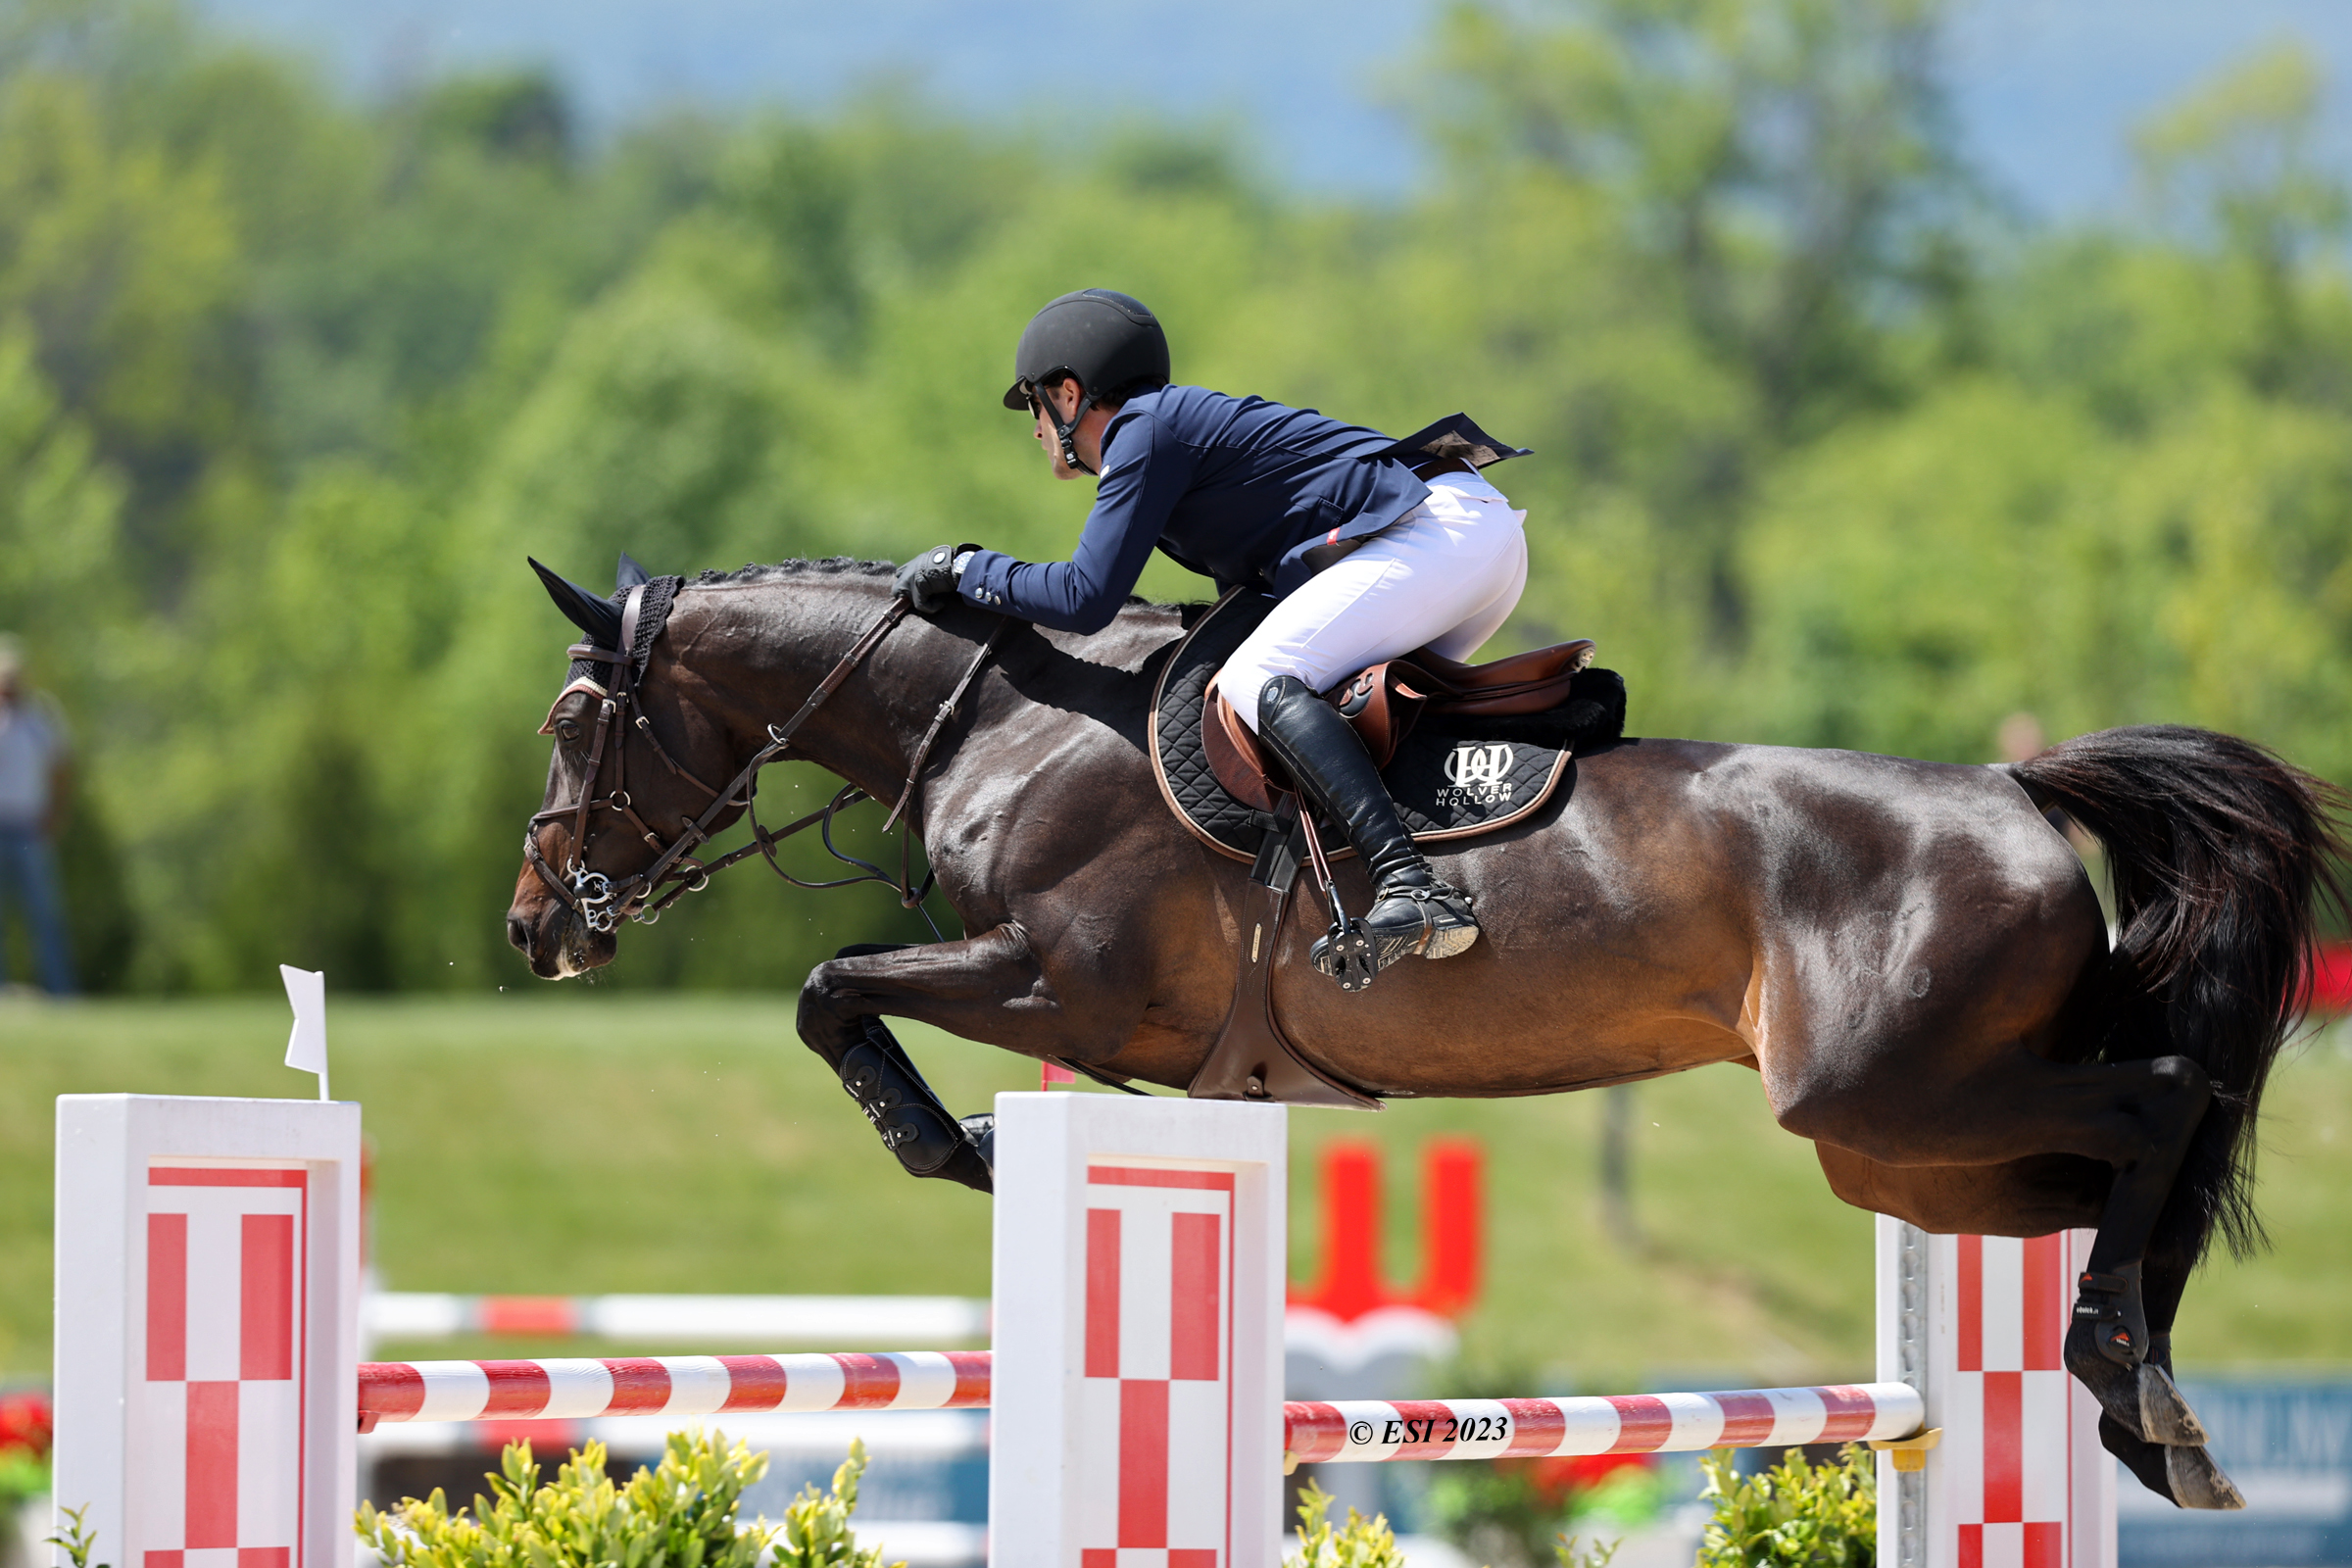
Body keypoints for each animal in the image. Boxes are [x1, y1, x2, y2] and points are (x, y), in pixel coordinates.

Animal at [505, 555, 2346, 1511]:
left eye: (576, 715)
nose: (537, 928)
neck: (1010, 718)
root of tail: (2016, 789)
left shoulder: (1054, 981)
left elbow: (834, 986)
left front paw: (949, 1144)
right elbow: (848, 986)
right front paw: (952, 1136)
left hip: (1891, 1096)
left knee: (2169, 1099)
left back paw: (2127, 1374)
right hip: (1916, 1159)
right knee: (2132, 1155)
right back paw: (2144, 1397)